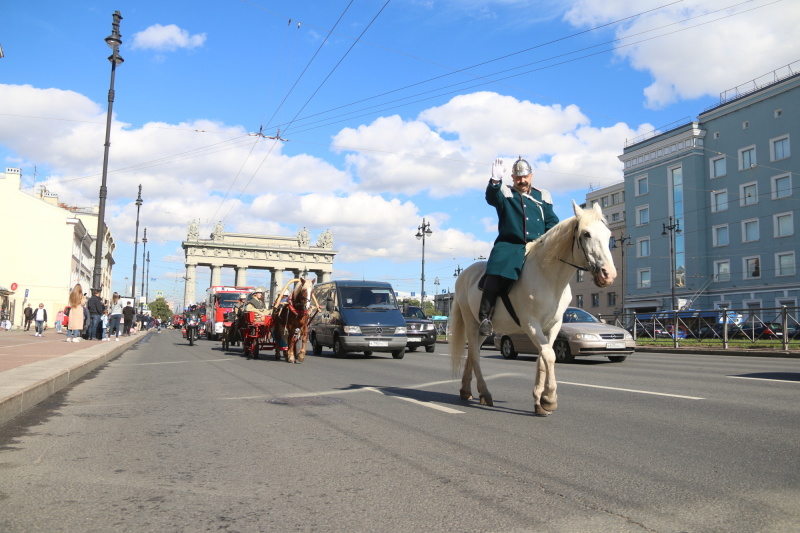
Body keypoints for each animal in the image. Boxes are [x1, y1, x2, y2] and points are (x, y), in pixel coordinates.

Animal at [454, 201, 616, 416]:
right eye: (586, 234)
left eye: (608, 234)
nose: (609, 274)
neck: (549, 278)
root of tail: (464, 275)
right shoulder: (530, 323)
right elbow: (549, 355)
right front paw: (549, 399)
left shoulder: (553, 325)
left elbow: (543, 357)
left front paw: (539, 401)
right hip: (472, 323)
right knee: (474, 354)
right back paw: (485, 393)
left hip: (481, 331)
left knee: (473, 354)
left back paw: (466, 391)